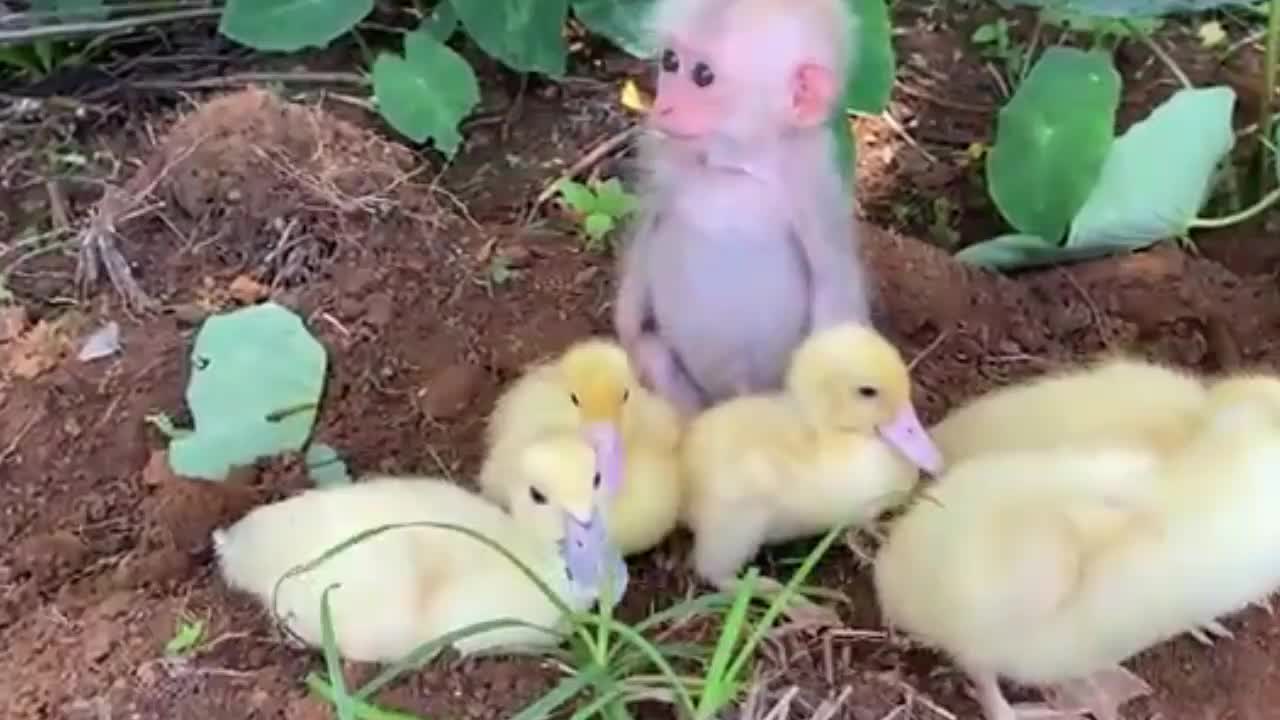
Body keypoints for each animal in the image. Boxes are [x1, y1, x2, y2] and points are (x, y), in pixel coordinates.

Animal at [614, 0, 875, 412]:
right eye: (670, 61)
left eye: (703, 76)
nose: (663, 107)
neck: (736, 165)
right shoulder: (662, 154)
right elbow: (649, 222)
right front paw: (626, 324)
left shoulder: (812, 183)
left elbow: (832, 278)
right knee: (657, 360)